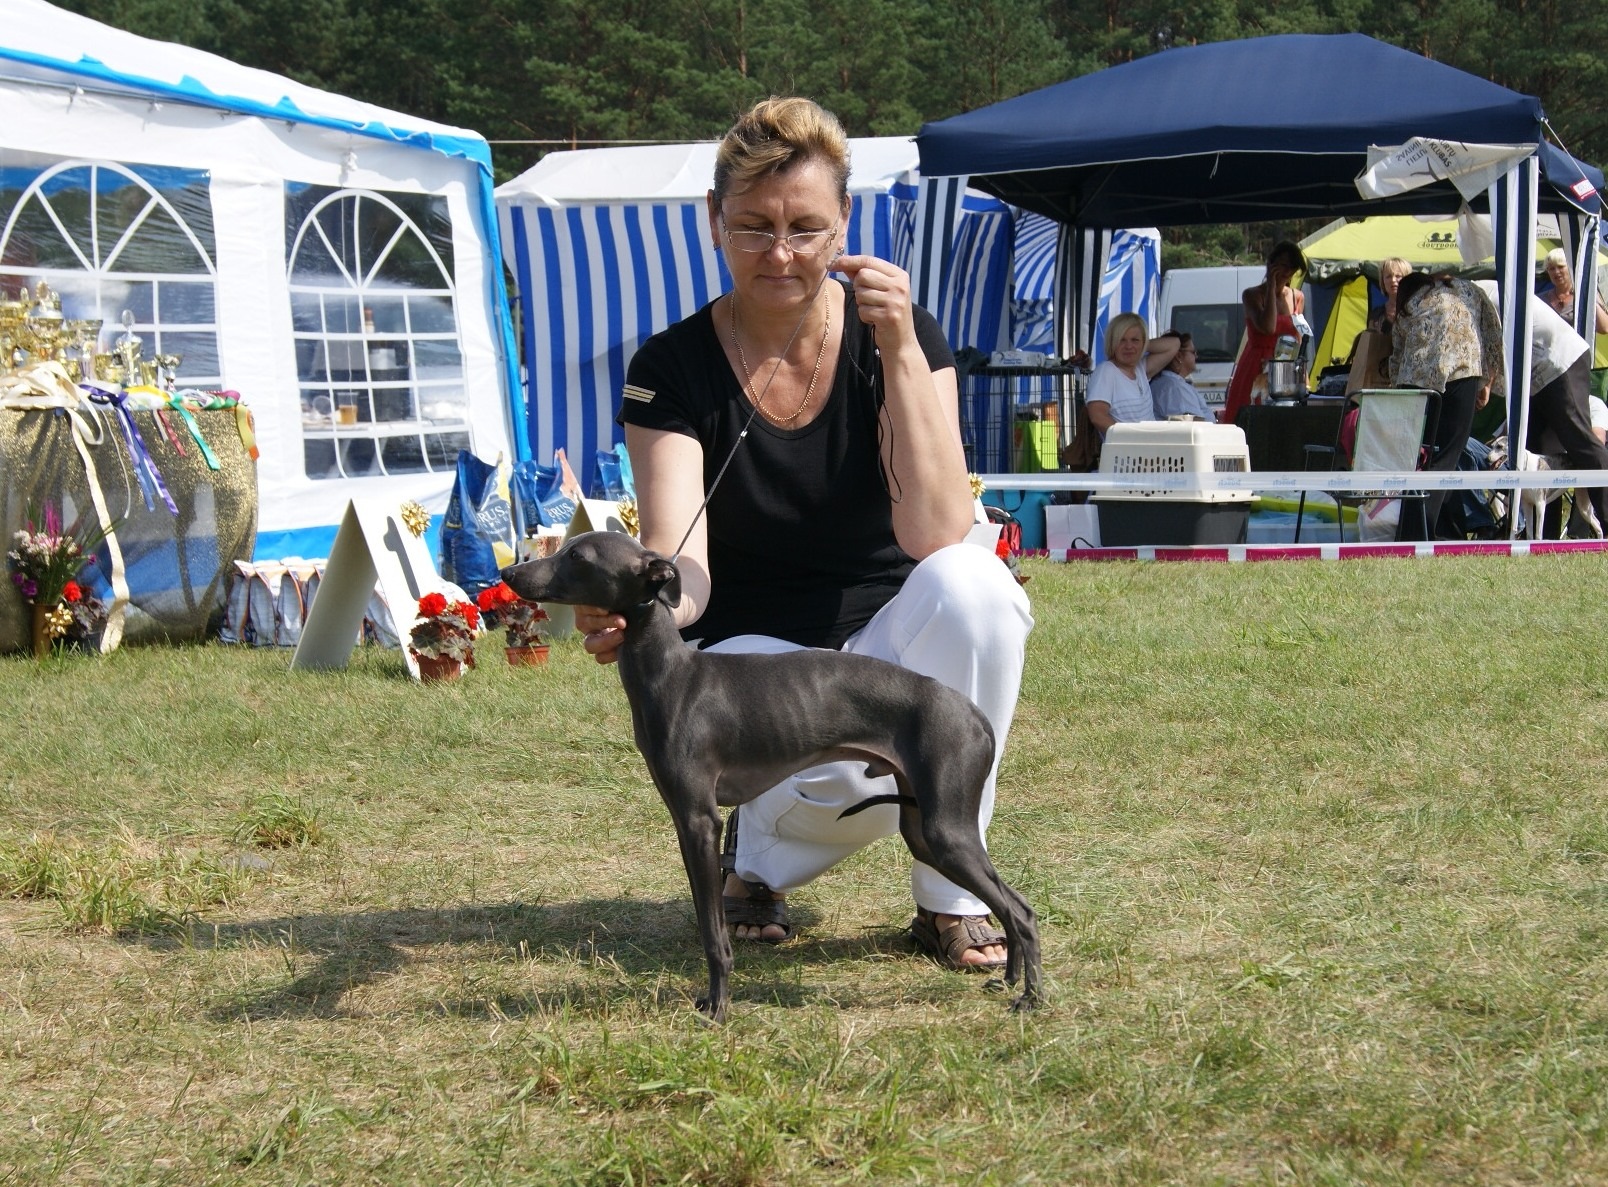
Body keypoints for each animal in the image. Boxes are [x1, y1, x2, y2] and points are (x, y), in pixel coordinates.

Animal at [502, 531, 1040, 1022]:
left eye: (578, 556)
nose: (509, 574)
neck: (672, 675)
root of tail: (973, 715)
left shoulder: (699, 822)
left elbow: (712, 930)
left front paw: (717, 1006)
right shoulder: (686, 820)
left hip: (945, 828)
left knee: (1022, 912)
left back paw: (1030, 999)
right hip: (924, 829)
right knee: (1013, 905)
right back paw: (1008, 978)